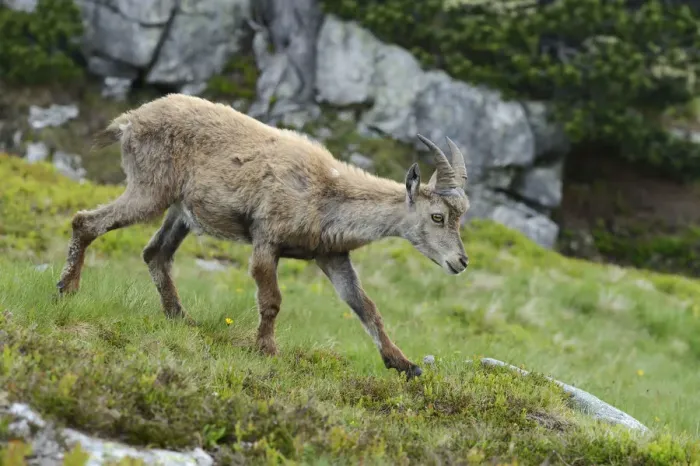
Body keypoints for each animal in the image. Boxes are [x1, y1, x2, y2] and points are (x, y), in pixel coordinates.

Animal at [56, 93, 470, 378]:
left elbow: (365, 306)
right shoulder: (267, 238)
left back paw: (180, 318)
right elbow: (271, 300)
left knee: (155, 253)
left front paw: (403, 363)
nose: (461, 261)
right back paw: (68, 288)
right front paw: (267, 349)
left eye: (460, 217)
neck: (328, 196)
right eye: (438, 216)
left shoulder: (332, 255)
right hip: (150, 190)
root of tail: (129, 121)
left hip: (180, 212)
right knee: (86, 222)